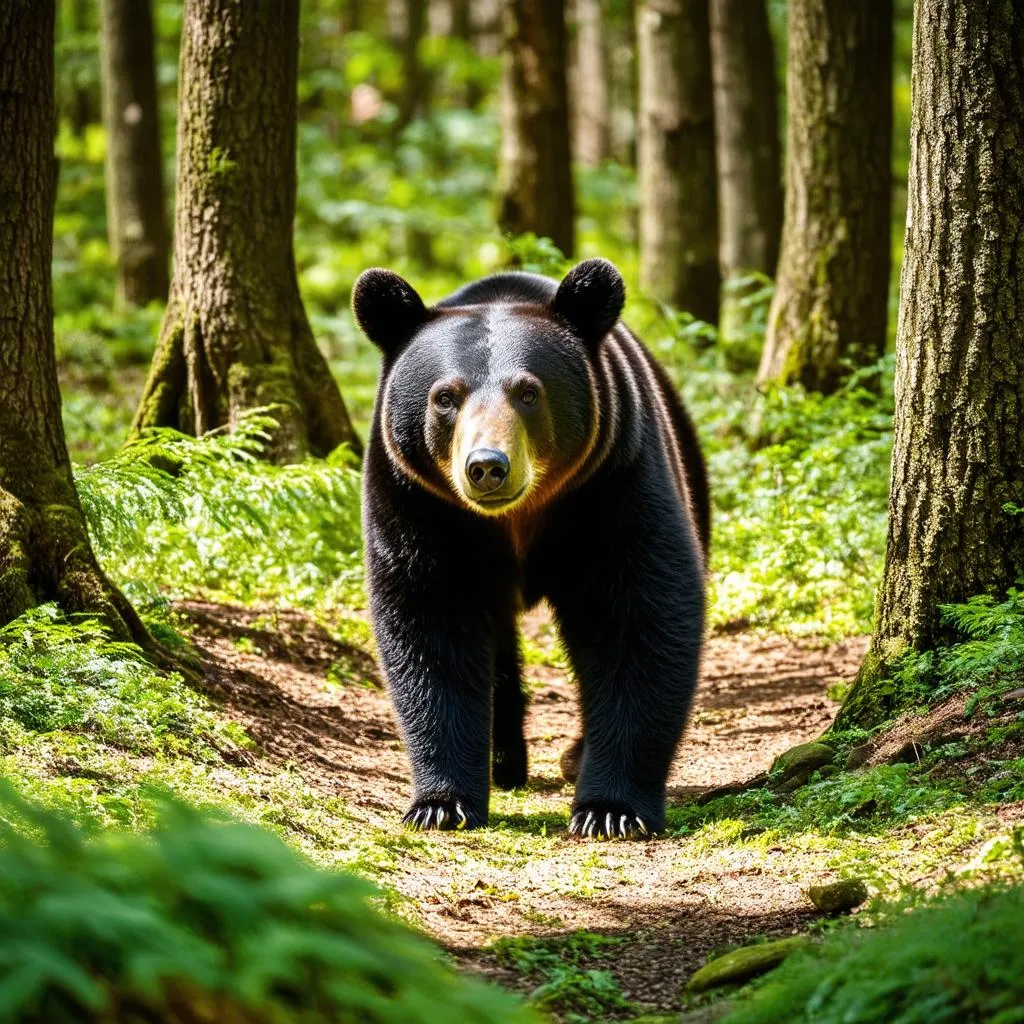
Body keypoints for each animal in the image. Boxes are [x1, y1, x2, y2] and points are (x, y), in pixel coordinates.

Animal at [352, 258, 704, 839]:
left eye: (528, 393)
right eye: (445, 396)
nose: (487, 466)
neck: (516, 519)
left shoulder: (612, 484)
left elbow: (639, 616)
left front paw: (611, 808)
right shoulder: (419, 504)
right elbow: (431, 625)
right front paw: (441, 802)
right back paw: (504, 760)